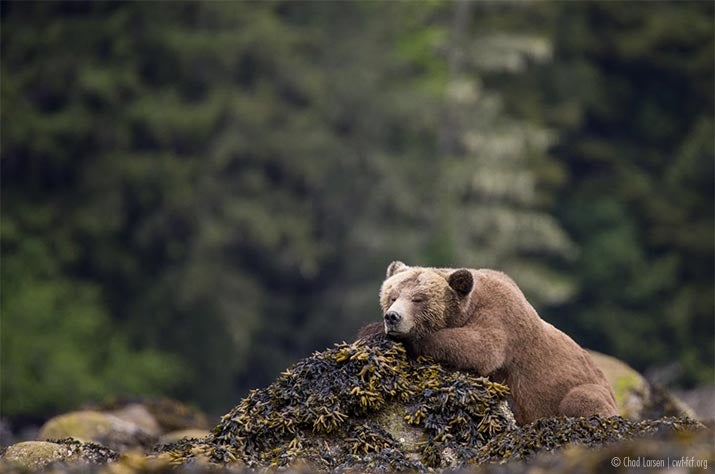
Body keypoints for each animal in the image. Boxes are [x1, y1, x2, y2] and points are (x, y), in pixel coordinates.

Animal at [358, 261, 618, 425]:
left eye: (418, 299)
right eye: (392, 296)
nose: (393, 317)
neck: (467, 307)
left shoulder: (500, 317)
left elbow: (482, 348)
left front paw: (410, 338)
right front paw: (371, 330)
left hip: (583, 389)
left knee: (581, 398)